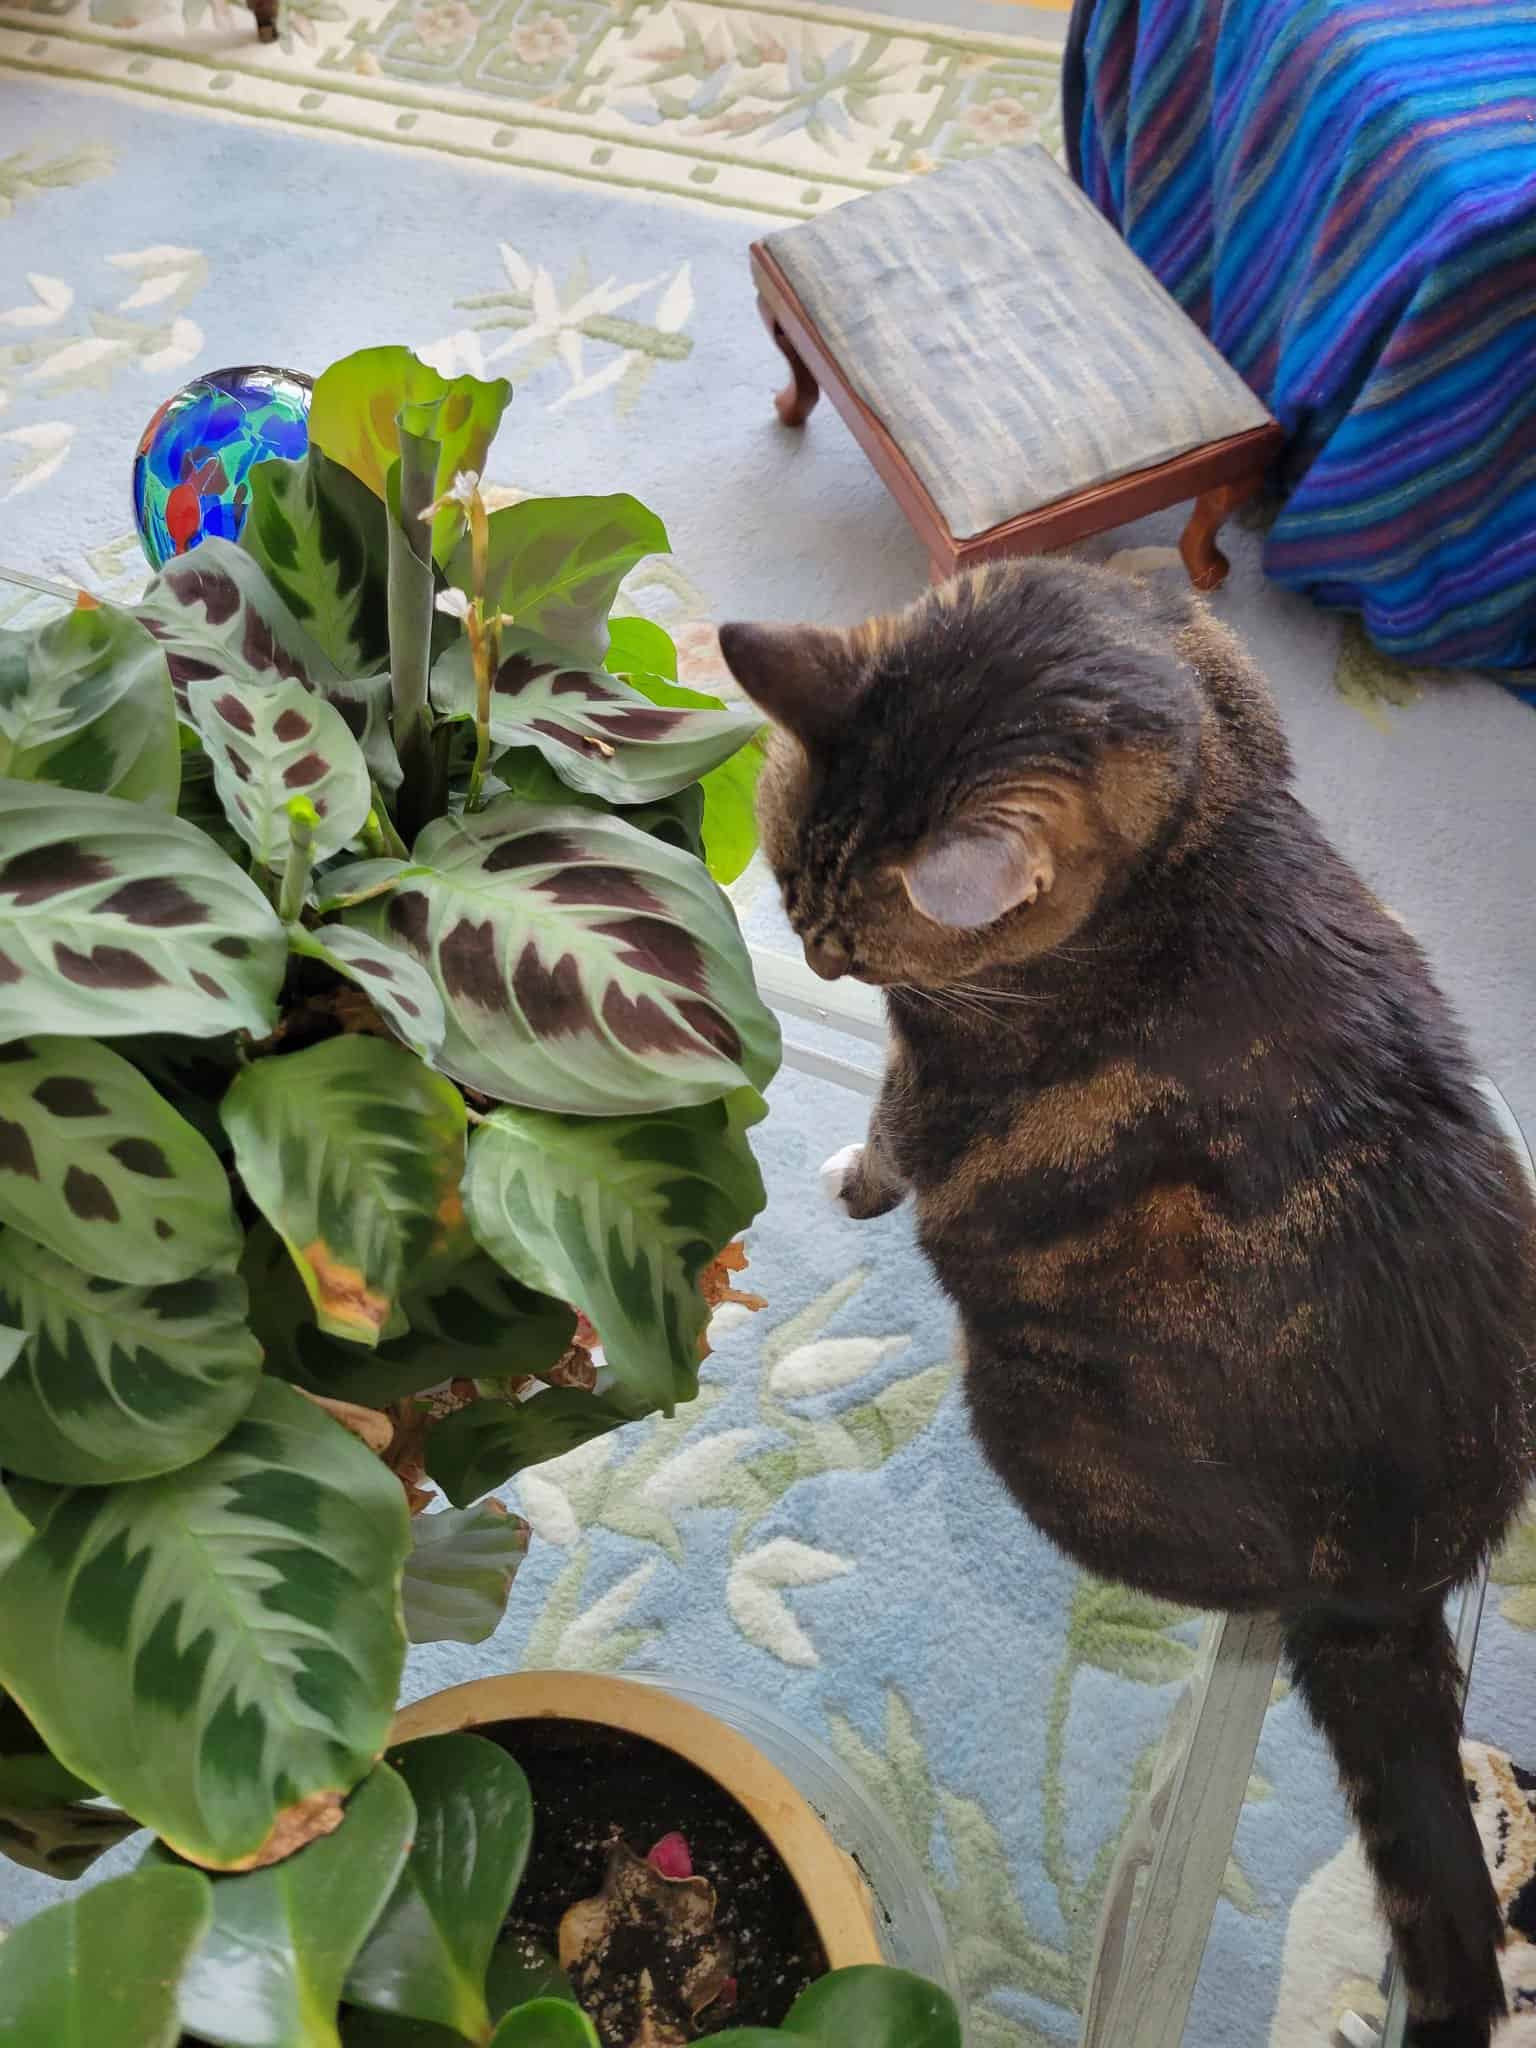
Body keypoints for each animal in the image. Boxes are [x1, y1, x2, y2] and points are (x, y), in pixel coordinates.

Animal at [720, 552, 1536, 2039]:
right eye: (790, 885)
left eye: (855, 944)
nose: (810, 960)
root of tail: (1396, 1584)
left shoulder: (944, 1066)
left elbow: (889, 1131)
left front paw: (853, 1177)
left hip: (1027, 1412)